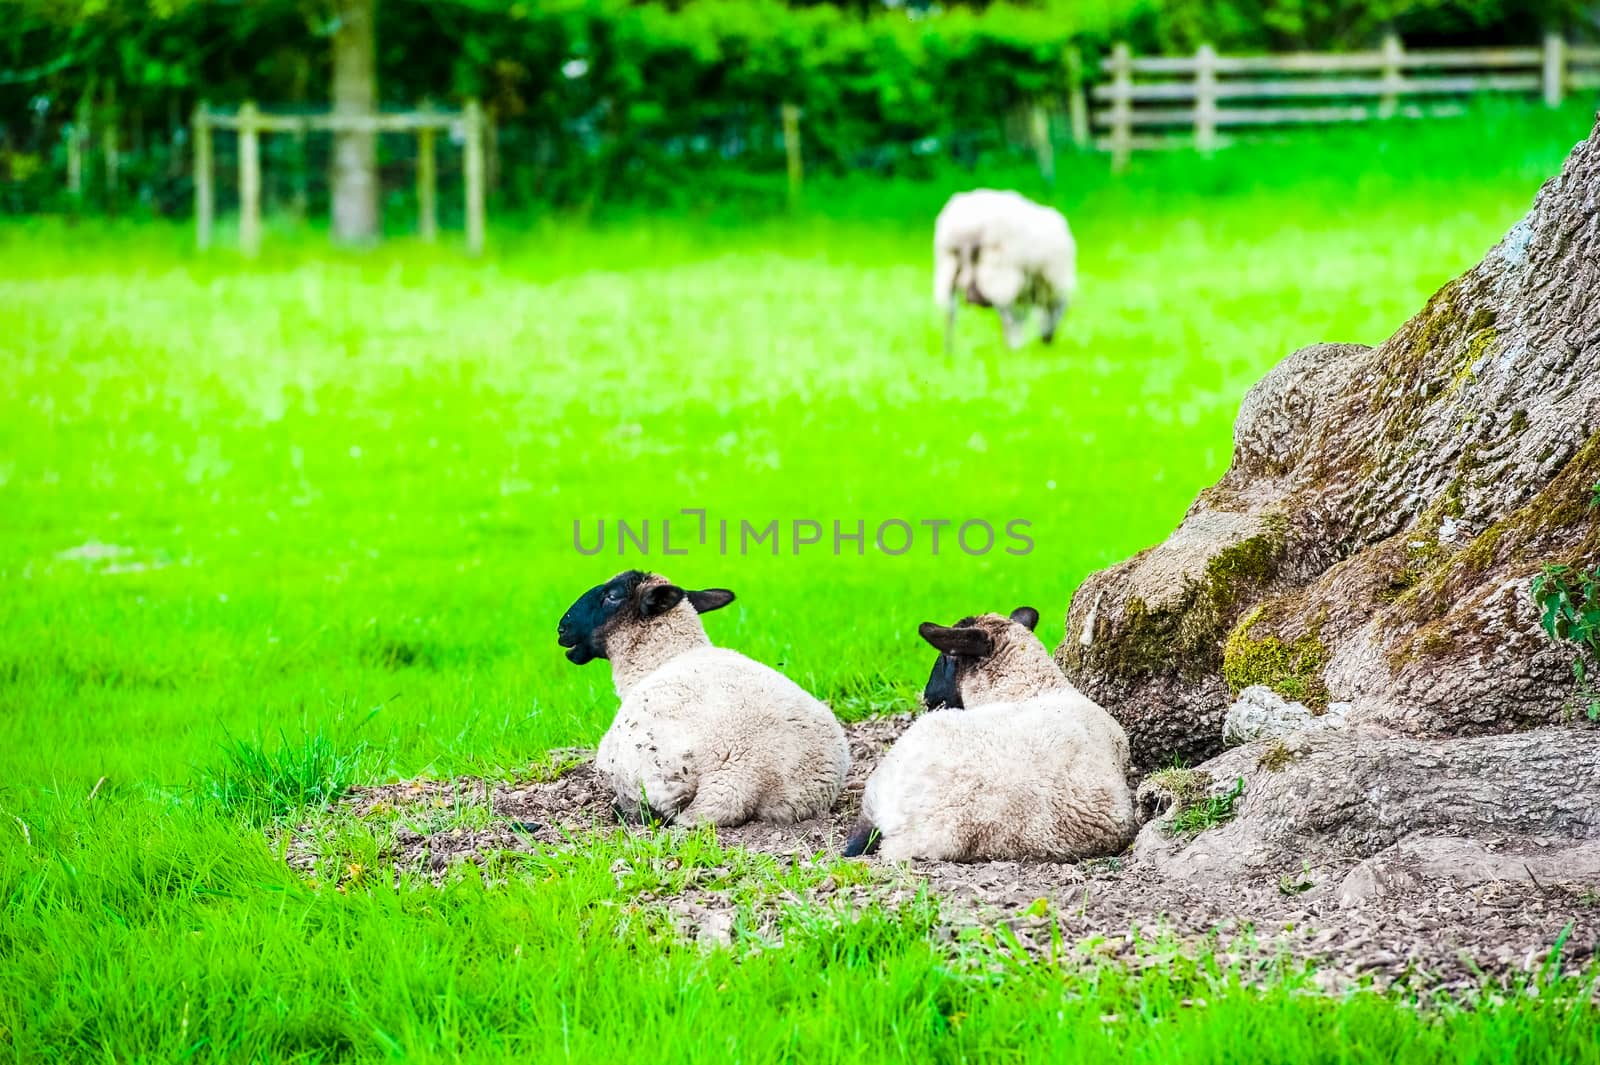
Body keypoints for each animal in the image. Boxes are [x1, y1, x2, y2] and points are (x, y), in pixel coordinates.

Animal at [934, 188, 1081, 355]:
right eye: (1062, 313)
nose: (1047, 340)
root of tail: (969, 227)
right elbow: (1018, 317)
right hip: (999, 271)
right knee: (1005, 315)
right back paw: (1010, 348)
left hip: (948, 269)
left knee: (949, 314)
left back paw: (949, 351)